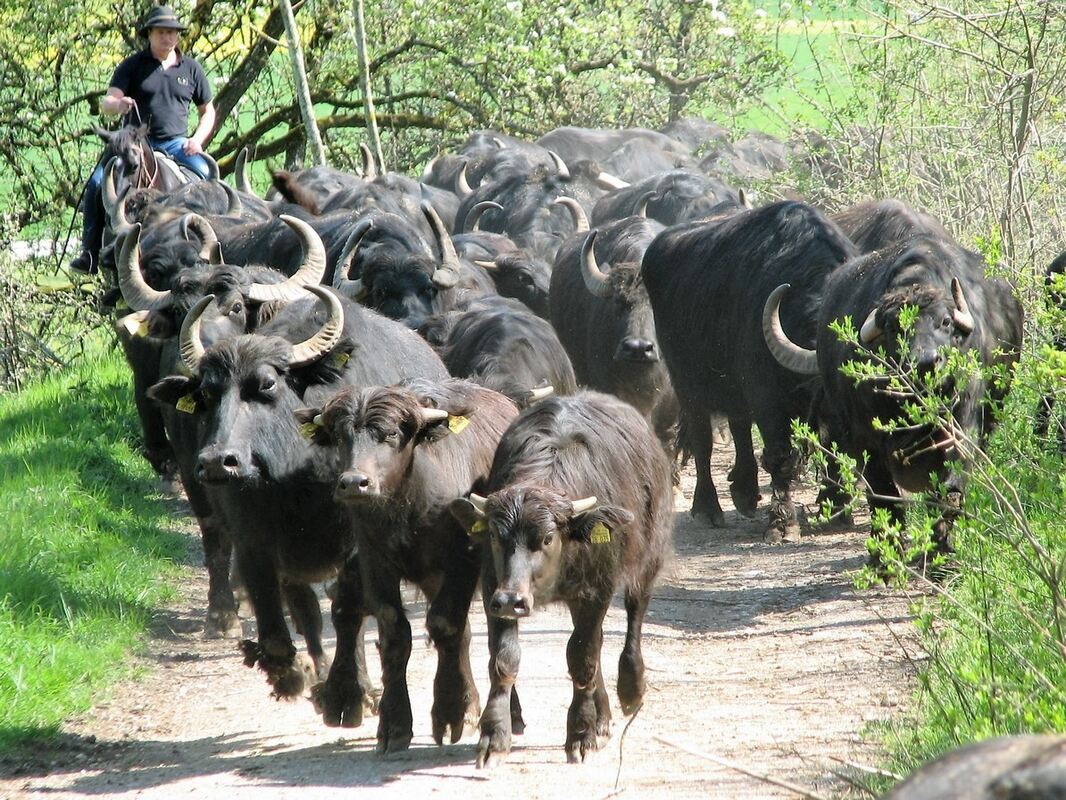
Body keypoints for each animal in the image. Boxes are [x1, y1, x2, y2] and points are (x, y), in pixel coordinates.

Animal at [148, 285, 447, 699]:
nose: (217, 461)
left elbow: (348, 610)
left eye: (267, 384)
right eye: (206, 393)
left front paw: (352, 689)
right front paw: (298, 672)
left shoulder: (356, 546)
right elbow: (282, 624)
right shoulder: (255, 543)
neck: (293, 483)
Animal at [298, 379, 518, 755]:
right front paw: (395, 723)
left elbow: (445, 624)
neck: (407, 504)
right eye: (340, 435)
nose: (354, 482)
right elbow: (394, 631)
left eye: (389, 434)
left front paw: (450, 710)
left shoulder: (462, 558)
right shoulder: (374, 558)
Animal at [639, 200, 857, 541]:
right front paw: (782, 524)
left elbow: (833, 451)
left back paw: (744, 491)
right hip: (687, 385)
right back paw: (708, 508)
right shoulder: (766, 398)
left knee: (739, 425)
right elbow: (781, 457)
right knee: (703, 440)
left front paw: (835, 508)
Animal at [763, 234, 1019, 554]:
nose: (925, 362)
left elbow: (948, 489)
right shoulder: (866, 440)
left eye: (945, 322)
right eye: (893, 328)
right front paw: (884, 556)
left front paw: (941, 550)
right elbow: (883, 496)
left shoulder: (964, 428)